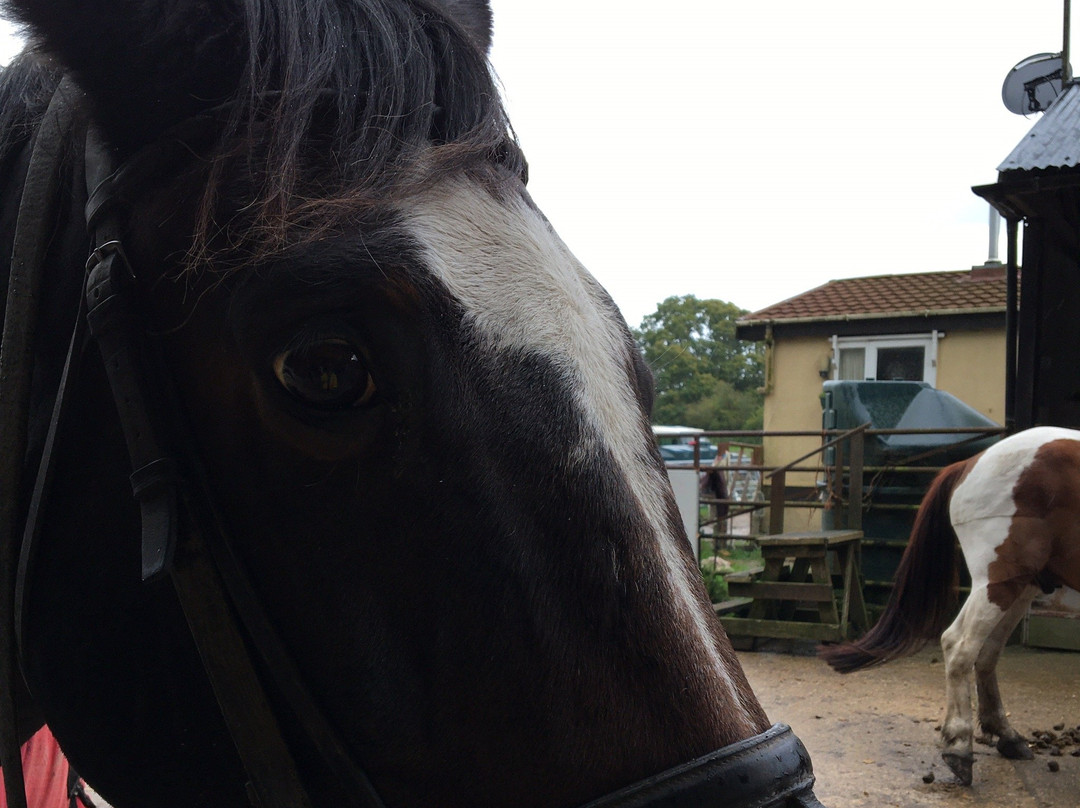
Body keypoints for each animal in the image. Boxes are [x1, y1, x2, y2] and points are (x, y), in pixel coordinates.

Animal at [820, 425, 1075, 786]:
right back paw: (960, 747)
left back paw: (1006, 736)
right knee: (960, 645)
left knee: (987, 651)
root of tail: (970, 462)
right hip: (998, 581)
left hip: (1021, 584)